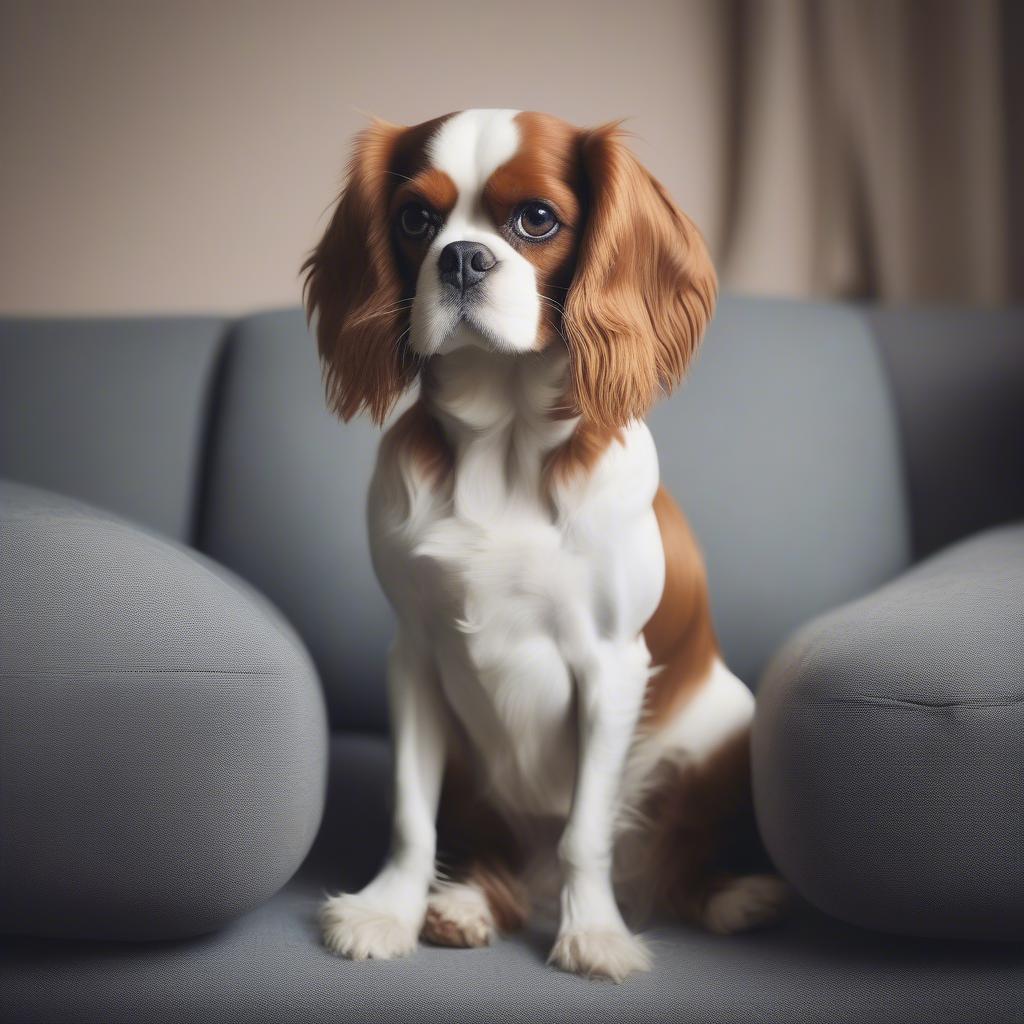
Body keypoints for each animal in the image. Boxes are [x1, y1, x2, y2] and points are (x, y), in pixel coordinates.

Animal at [301, 108, 782, 978]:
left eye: (536, 219)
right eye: (414, 219)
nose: (461, 257)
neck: (504, 440)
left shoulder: (612, 666)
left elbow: (585, 833)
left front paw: (593, 932)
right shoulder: (414, 655)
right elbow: (411, 817)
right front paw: (388, 910)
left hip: (721, 730)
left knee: (675, 859)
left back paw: (734, 898)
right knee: (500, 864)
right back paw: (463, 904)